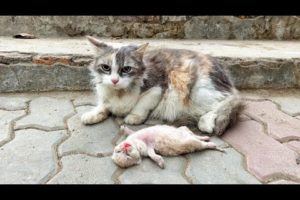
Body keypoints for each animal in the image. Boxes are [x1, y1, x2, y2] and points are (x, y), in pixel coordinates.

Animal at [81, 36, 243, 136]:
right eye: (106, 68)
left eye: (126, 69)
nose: (114, 80)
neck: (120, 92)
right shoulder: (105, 95)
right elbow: (104, 105)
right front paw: (93, 114)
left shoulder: (158, 88)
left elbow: (141, 104)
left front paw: (134, 116)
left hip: (197, 90)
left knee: (221, 104)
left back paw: (206, 123)